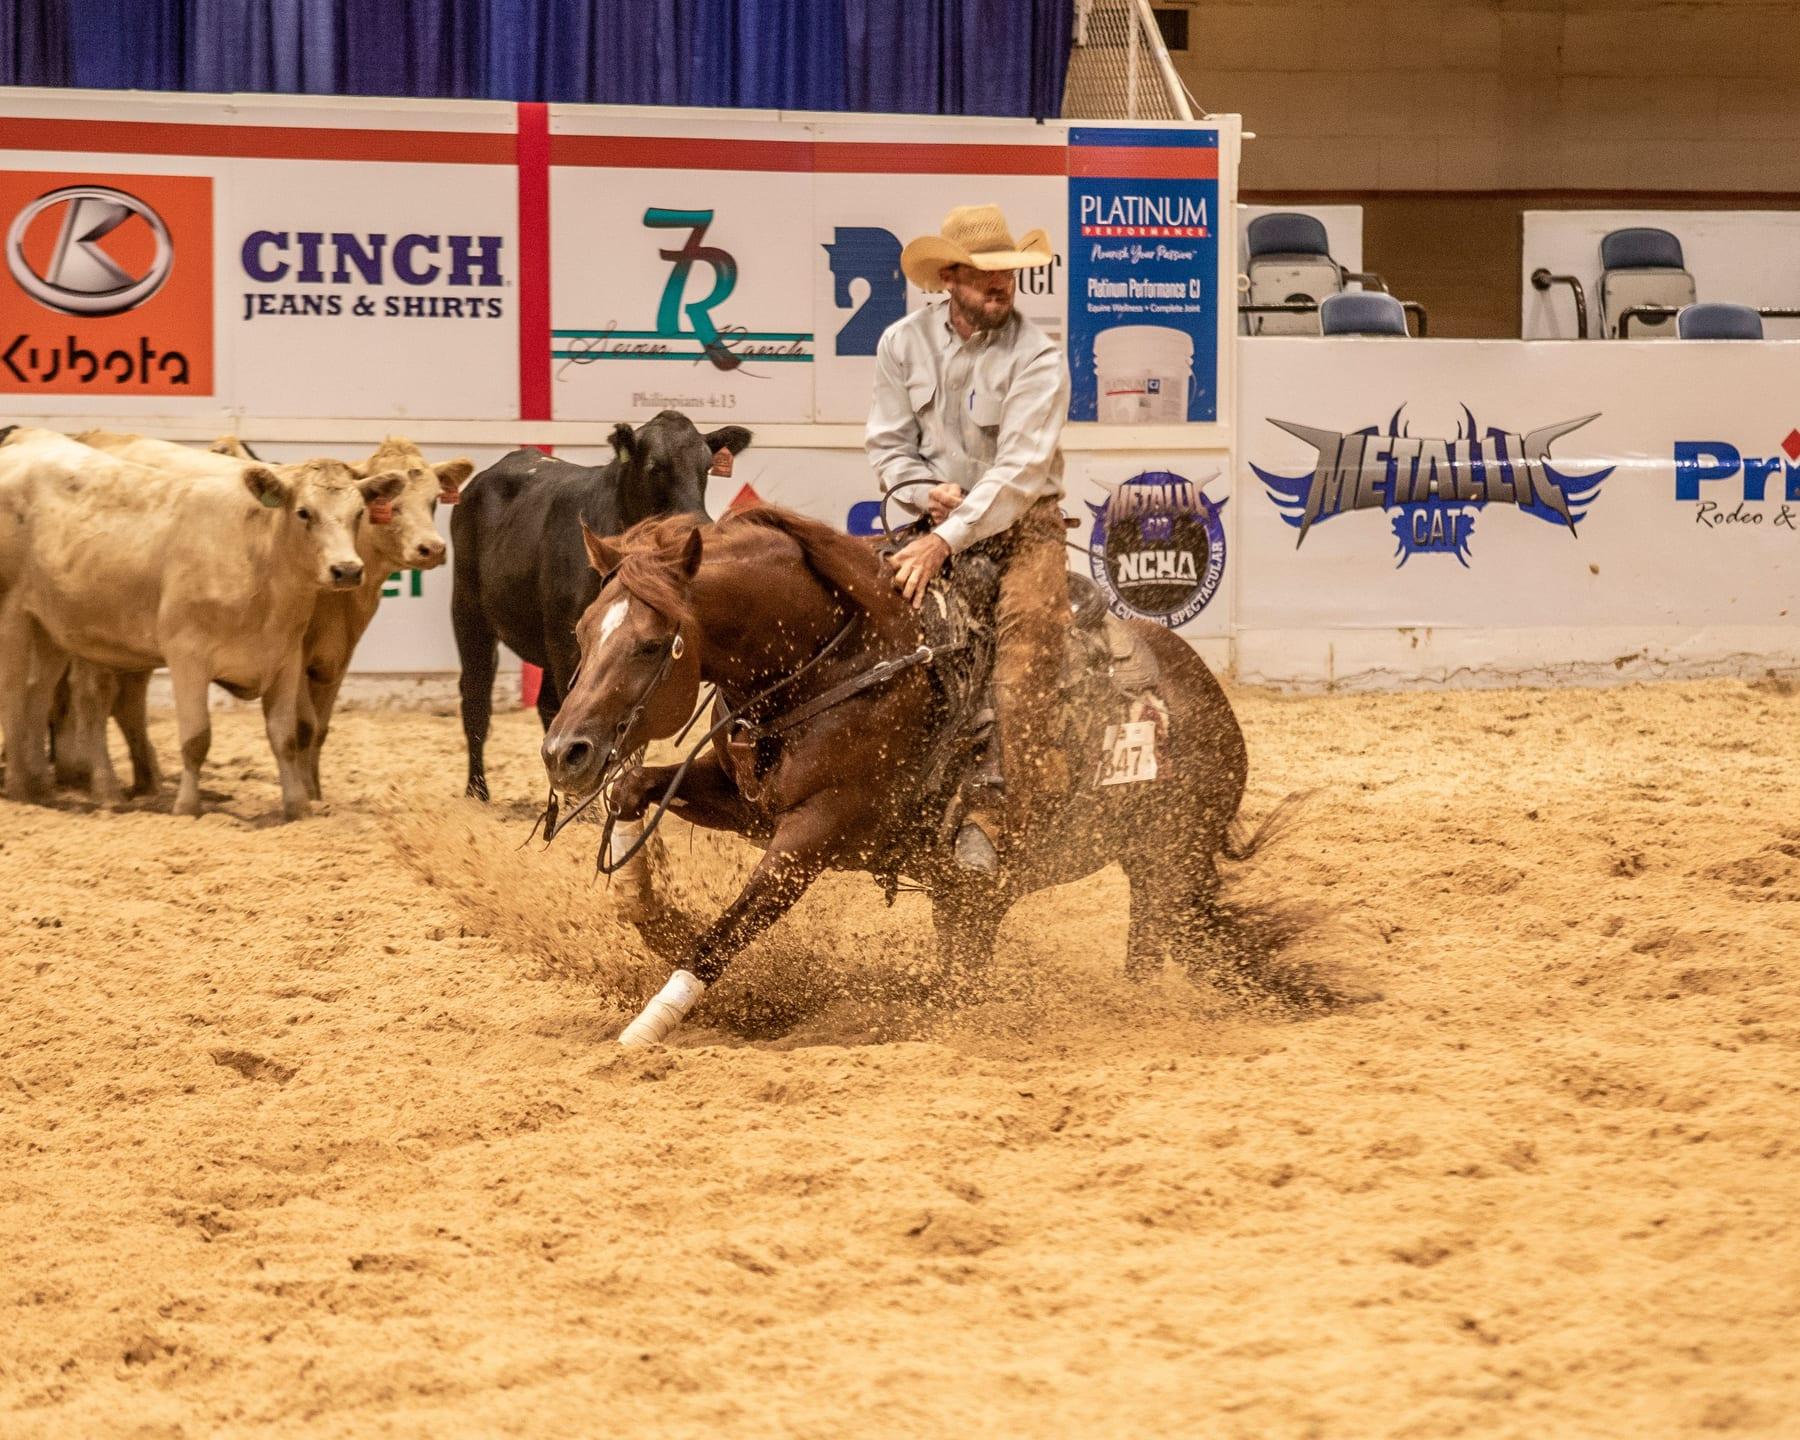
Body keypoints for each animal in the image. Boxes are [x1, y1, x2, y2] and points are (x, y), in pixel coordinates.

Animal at [450, 410, 750, 800]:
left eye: (707, 466)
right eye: (654, 466)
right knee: (476, 696)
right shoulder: (569, 642)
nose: (696, 526)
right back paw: (477, 791)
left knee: (546, 704)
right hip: (468, 611)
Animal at [539, 505, 1320, 1047]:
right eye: (580, 631)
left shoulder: (816, 832)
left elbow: (734, 925)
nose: (563, 752)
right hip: (977, 897)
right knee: (967, 973)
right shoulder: (749, 802)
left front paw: (645, 1027)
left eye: (649, 645)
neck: (842, 660)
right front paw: (646, 908)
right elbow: (632, 789)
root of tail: (1211, 697)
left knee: (1144, 957)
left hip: (1165, 867)